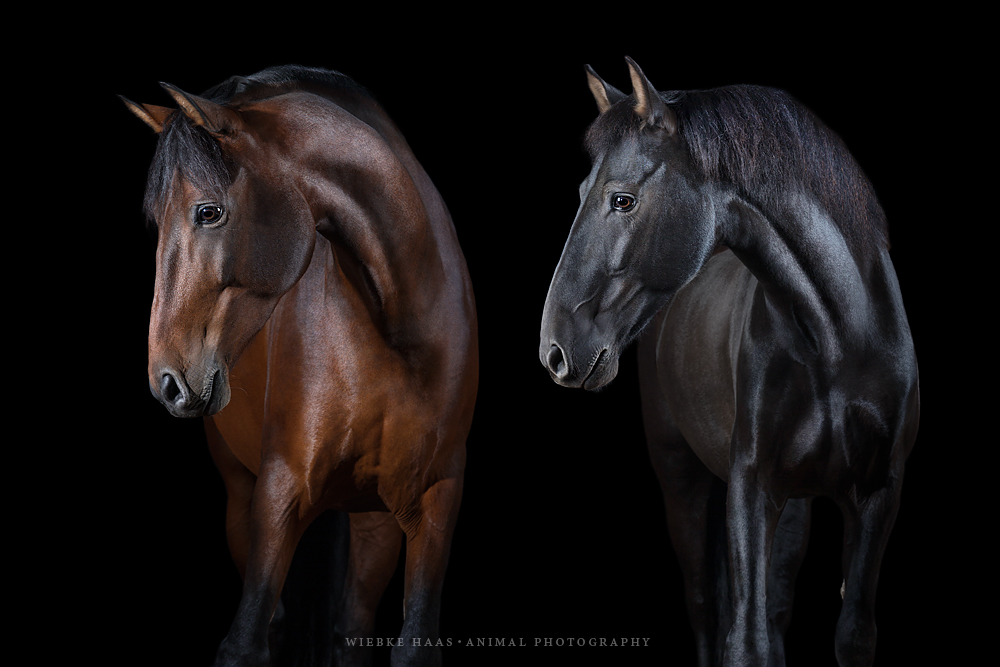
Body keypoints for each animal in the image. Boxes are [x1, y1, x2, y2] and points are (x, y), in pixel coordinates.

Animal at [122, 66, 480, 667]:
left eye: (208, 212)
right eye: (155, 221)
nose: (165, 383)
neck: (403, 330)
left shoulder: (437, 502)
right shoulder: (278, 495)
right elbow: (245, 642)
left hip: (374, 523)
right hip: (241, 498)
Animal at [544, 58, 916, 667]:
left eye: (622, 199)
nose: (554, 349)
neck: (840, 339)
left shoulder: (877, 494)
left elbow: (852, 633)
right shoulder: (752, 490)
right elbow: (744, 640)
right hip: (684, 481)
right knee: (704, 609)